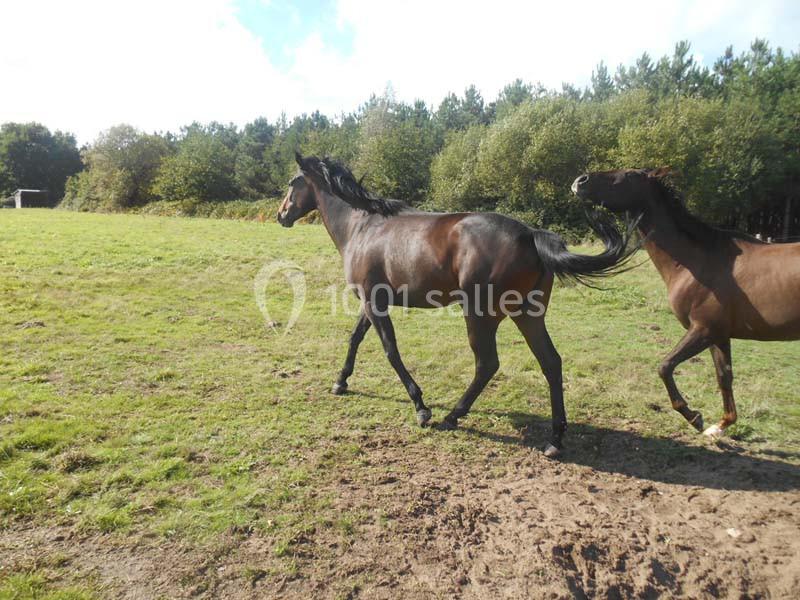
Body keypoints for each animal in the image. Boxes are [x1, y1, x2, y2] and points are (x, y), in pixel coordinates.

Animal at [277, 153, 637, 456]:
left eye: (293, 182)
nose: (281, 215)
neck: (363, 226)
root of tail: (531, 235)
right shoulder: (372, 302)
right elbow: (355, 339)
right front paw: (341, 382)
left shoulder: (374, 302)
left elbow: (391, 351)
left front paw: (421, 408)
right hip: (528, 315)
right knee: (551, 362)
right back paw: (555, 439)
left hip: (480, 316)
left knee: (488, 364)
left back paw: (453, 416)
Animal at [572, 168, 800, 437]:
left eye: (627, 174)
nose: (579, 182)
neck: (698, 262)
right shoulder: (719, 335)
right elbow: (724, 376)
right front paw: (719, 426)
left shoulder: (703, 329)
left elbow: (665, 366)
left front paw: (693, 417)